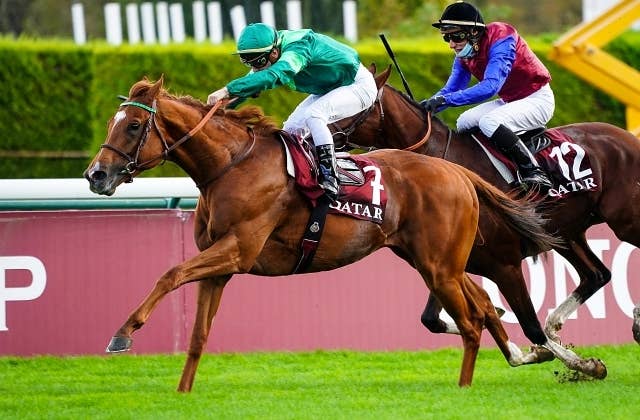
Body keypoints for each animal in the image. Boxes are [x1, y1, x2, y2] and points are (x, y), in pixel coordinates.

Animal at [83, 76, 595, 392]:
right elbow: (197, 337)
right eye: (113, 122)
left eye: (133, 125)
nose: (96, 175)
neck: (231, 166)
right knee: (485, 306)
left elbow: (168, 274)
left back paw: (471, 386)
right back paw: (552, 359)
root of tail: (457, 171)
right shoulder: (220, 266)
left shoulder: (238, 251)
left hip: (440, 264)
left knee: (472, 321)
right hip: (433, 260)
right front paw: (183, 392)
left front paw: (122, 335)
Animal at [332, 65, 640, 347]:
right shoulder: (449, 256)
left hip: (625, 221)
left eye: (352, 102)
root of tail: (629, 139)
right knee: (596, 274)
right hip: (566, 231)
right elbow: (431, 319)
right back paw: (558, 324)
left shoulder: (493, 253)